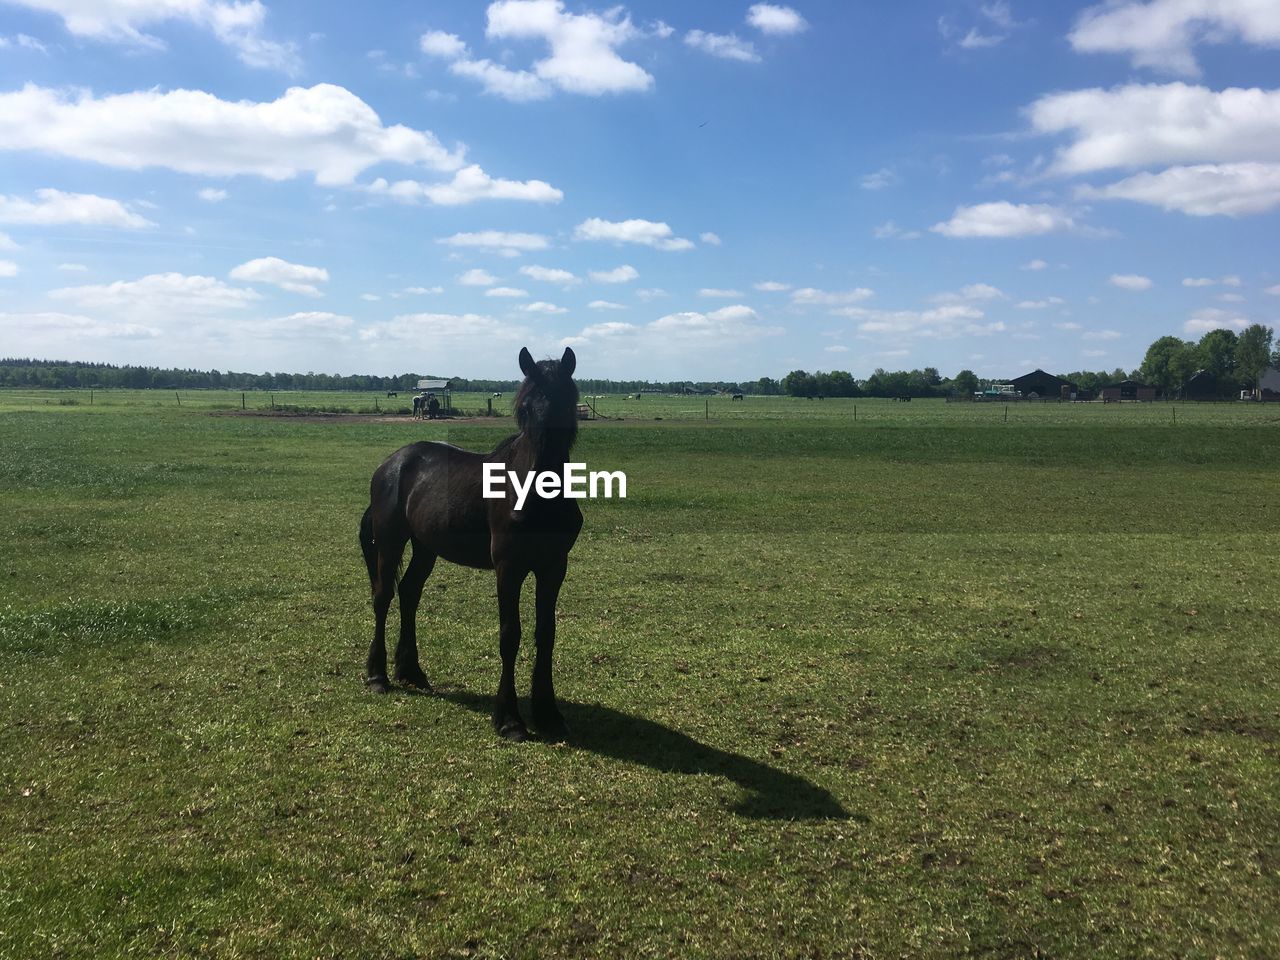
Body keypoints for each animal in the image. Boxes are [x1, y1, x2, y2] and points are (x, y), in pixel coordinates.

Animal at [358, 348, 583, 742]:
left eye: (565, 404)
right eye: (525, 409)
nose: (528, 504)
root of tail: (392, 463)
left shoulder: (554, 567)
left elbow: (546, 634)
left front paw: (549, 714)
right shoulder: (508, 568)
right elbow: (510, 635)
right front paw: (509, 719)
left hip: (425, 547)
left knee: (409, 592)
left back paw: (411, 671)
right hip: (390, 541)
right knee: (383, 596)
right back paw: (378, 676)